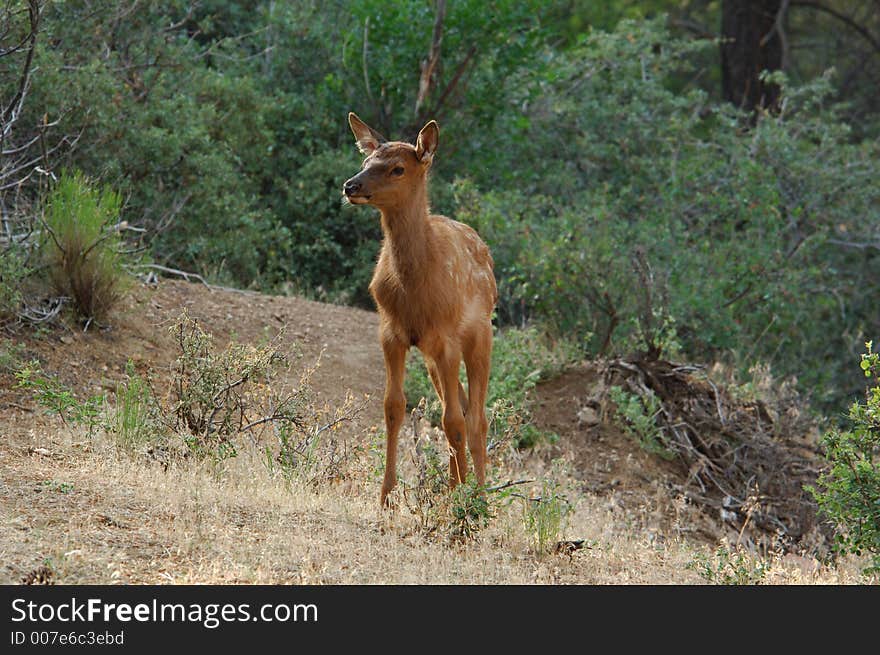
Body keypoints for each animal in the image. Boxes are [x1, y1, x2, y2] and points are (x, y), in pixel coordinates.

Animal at [342, 113, 496, 508]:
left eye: (398, 168)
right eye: (367, 160)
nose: (350, 185)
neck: (414, 288)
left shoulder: (446, 337)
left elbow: (452, 421)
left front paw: (460, 500)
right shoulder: (391, 333)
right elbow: (394, 407)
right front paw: (386, 496)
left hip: (480, 337)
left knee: (476, 417)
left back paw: (479, 496)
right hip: (430, 356)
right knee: (462, 407)